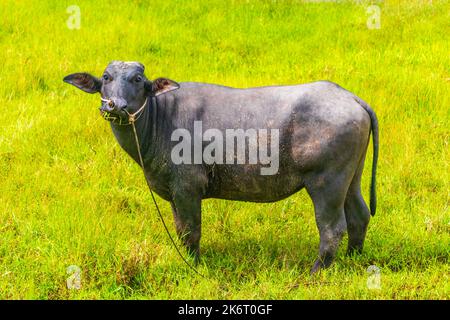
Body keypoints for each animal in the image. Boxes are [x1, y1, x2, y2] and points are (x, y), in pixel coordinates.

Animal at [63, 61, 378, 274]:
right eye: (107, 78)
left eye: (137, 79)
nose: (114, 106)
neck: (159, 118)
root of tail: (349, 97)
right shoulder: (174, 193)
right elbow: (180, 229)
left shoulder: (187, 188)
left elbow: (191, 230)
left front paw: (194, 264)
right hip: (351, 179)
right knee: (359, 216)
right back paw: (354, 258)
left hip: (327, 184)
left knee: (332, 228)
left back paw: (316, 271)